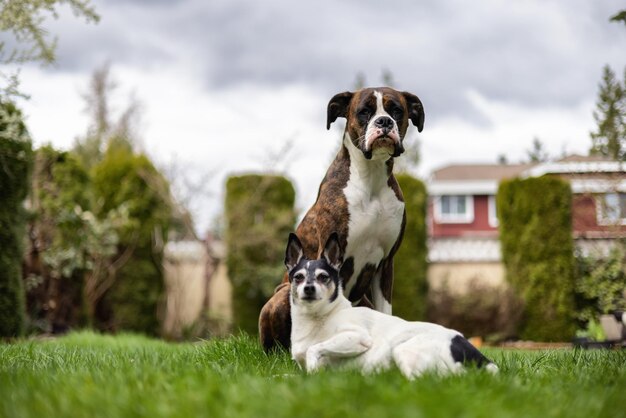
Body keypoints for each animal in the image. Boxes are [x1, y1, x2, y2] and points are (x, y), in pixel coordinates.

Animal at [258, 86, 424, 352]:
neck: (371, 179)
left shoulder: (386, 263)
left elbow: (386, 311)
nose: (384, 121)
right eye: (364, 111)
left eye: (397, 111)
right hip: (281, 298)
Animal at [286, 232, 498, 378]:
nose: (309, 288)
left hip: (402, 350)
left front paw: (314, 370)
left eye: (323, 277)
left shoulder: (357, 338)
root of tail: (481, 359)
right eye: (298, 277)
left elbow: (314, 349)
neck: (319, 317)